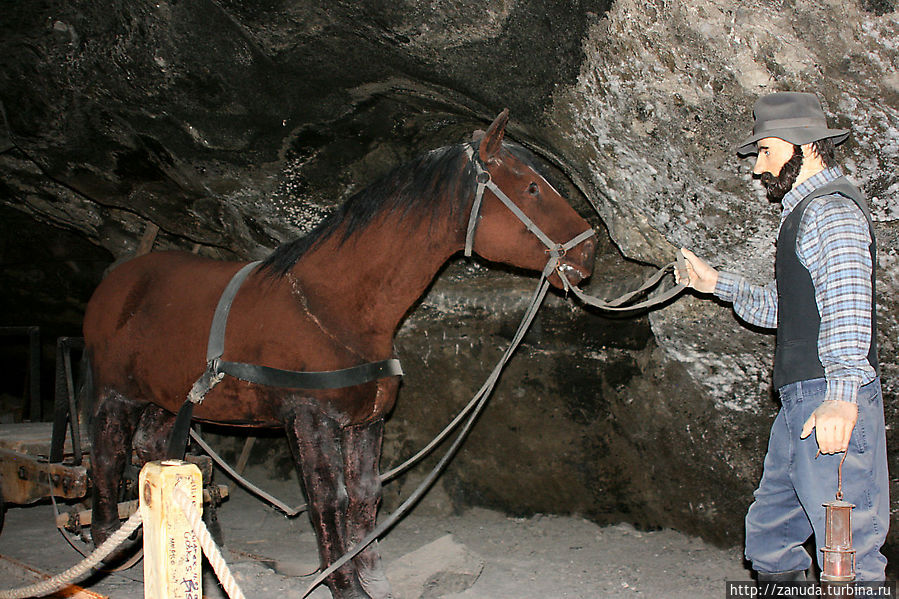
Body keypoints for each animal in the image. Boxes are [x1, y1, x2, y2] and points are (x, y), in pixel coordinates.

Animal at [81, 110, 596, 596]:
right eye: (532, 187)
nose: (589, 251)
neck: (336, 306)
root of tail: (115, 280)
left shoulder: (367, 421)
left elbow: (366, 496)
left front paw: (372, 577)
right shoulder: (309, 419)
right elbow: (329, 499)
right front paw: (344, 584)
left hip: (166, 402)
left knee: (150, 452)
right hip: (115, 394)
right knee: (106, 459)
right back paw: (106, 546)